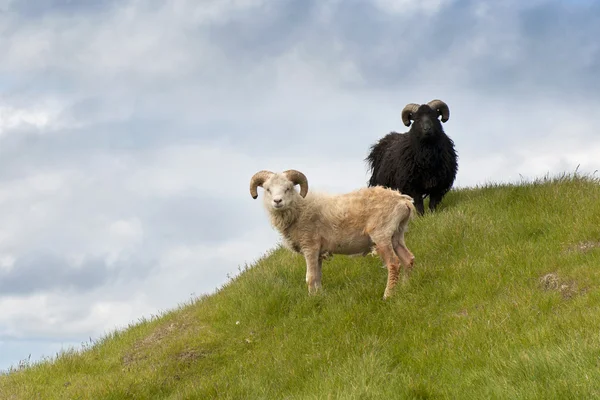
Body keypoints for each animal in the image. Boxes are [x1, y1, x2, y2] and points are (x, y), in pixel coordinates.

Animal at [250, 167, 418, 298]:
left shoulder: (310, 246)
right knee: (407, 259)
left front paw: (311, 300)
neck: (299, 209)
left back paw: (388, 295)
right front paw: (319, 297)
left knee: (394, 263)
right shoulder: (318, 252)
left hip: (381, 234)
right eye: (268, 190)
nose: (277, 201)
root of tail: (403, 200)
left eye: (288, 188)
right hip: (396, 233)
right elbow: (317, 277)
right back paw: (406, 286)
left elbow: (310, 277)